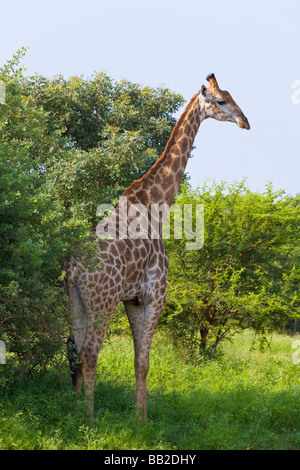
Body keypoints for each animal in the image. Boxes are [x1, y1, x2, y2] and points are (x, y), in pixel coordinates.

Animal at [64, 74, 250, 422]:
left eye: (231, 96)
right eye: (220, 101)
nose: (245, 121)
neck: (156, 205)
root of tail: (73, 267)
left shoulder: (133, 300)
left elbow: (138, 361)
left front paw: (138, 416)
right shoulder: (154, 295)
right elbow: (144, 362)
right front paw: (142, 420)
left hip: (75, 300)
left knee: (75, 352)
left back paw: (73, 409)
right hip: (102, 301)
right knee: (90, 354)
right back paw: (89, 419)